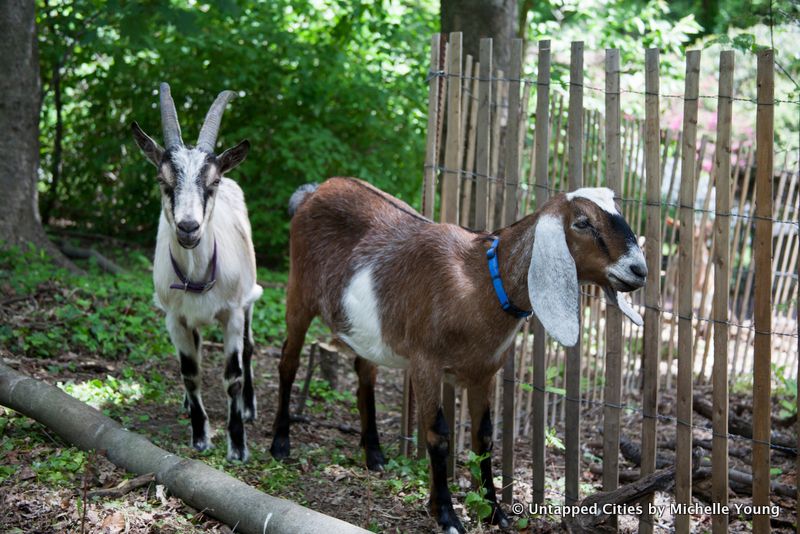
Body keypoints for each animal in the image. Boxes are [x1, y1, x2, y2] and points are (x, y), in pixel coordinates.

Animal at [131, 85, 262, 464]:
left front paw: (237, 445)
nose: (188, 227)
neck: (198, 275)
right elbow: (190, 373)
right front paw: (201, 436)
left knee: (249, 348)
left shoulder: (233, 312)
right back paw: (189, 406)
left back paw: (249, 408)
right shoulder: (174, 317)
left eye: (212, 181)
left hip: (249, 298)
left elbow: (232, 376)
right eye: (162, 180)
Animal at [272, 178, 648, 532]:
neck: (479, 283)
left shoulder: (483, 372)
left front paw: (495, 511)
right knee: (288, 362)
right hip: (298, 294)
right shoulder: (425, 363)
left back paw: (374, 455)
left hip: (365, 329)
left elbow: (484, 436)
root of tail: (313, 191)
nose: (639, 270)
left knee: (365, 374)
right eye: (582, 222)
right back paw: (280, 443)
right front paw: (446, 515)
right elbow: (438, 434)